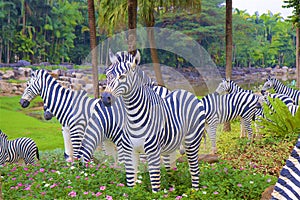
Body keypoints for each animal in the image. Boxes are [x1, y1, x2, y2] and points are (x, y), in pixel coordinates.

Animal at [101, 50, 206, 192]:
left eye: (122, 76)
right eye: (107, 74)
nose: (105, 98)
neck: (133, 116)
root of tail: (187, 93)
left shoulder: (153, 152)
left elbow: (155, 186)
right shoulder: (130, 151)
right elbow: (131, 184)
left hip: (192, 141)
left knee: (194, 170)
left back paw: (194, 192)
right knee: (171, 166)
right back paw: (172, 184)